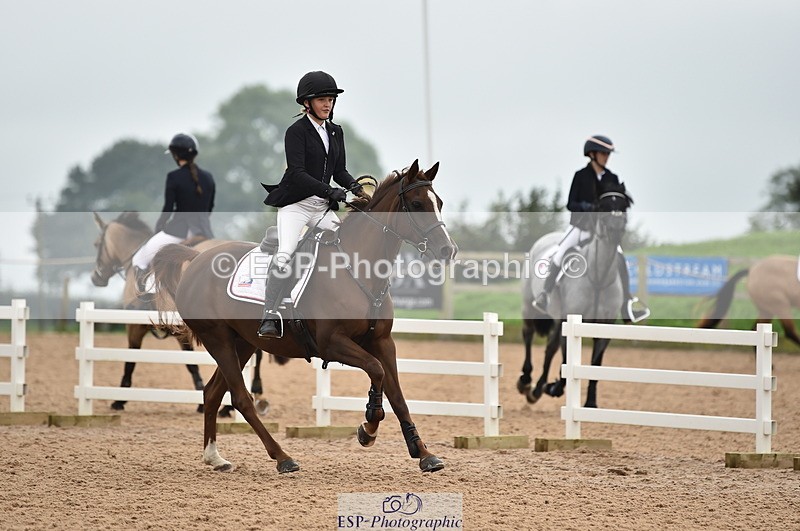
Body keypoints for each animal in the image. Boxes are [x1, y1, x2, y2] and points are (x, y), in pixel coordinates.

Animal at [90, 211, 276, 415]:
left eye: (97, 244)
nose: (96, 277)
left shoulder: (137, 326)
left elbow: (133, 359)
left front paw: (119, 400)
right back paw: (254, 398)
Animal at [150, 160, 457, 474]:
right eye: (417, 204)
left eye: (439, 203)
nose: (448, 250)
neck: (358, 269)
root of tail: (195, 259)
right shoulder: (332, 344)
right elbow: (376, 370)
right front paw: (368, 428)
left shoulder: (383, 342)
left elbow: (397, 395)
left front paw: (423, 453)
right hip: (218, 339)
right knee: (240, 398)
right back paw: (282, 457)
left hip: (243, 343)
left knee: (213, 392)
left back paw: (214, 456)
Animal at [518, 182, 633, 409]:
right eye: (603, 206)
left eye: (623, 205)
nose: (615, 230)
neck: (598, 279)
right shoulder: (568, 318)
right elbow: (566, 357)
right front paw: (555, 387)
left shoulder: (603, 327)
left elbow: (595, 365)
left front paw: (590, 402)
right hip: (529, 307)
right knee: (529, 335)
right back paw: (526, 381)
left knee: (550, 348)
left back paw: (537, 389)